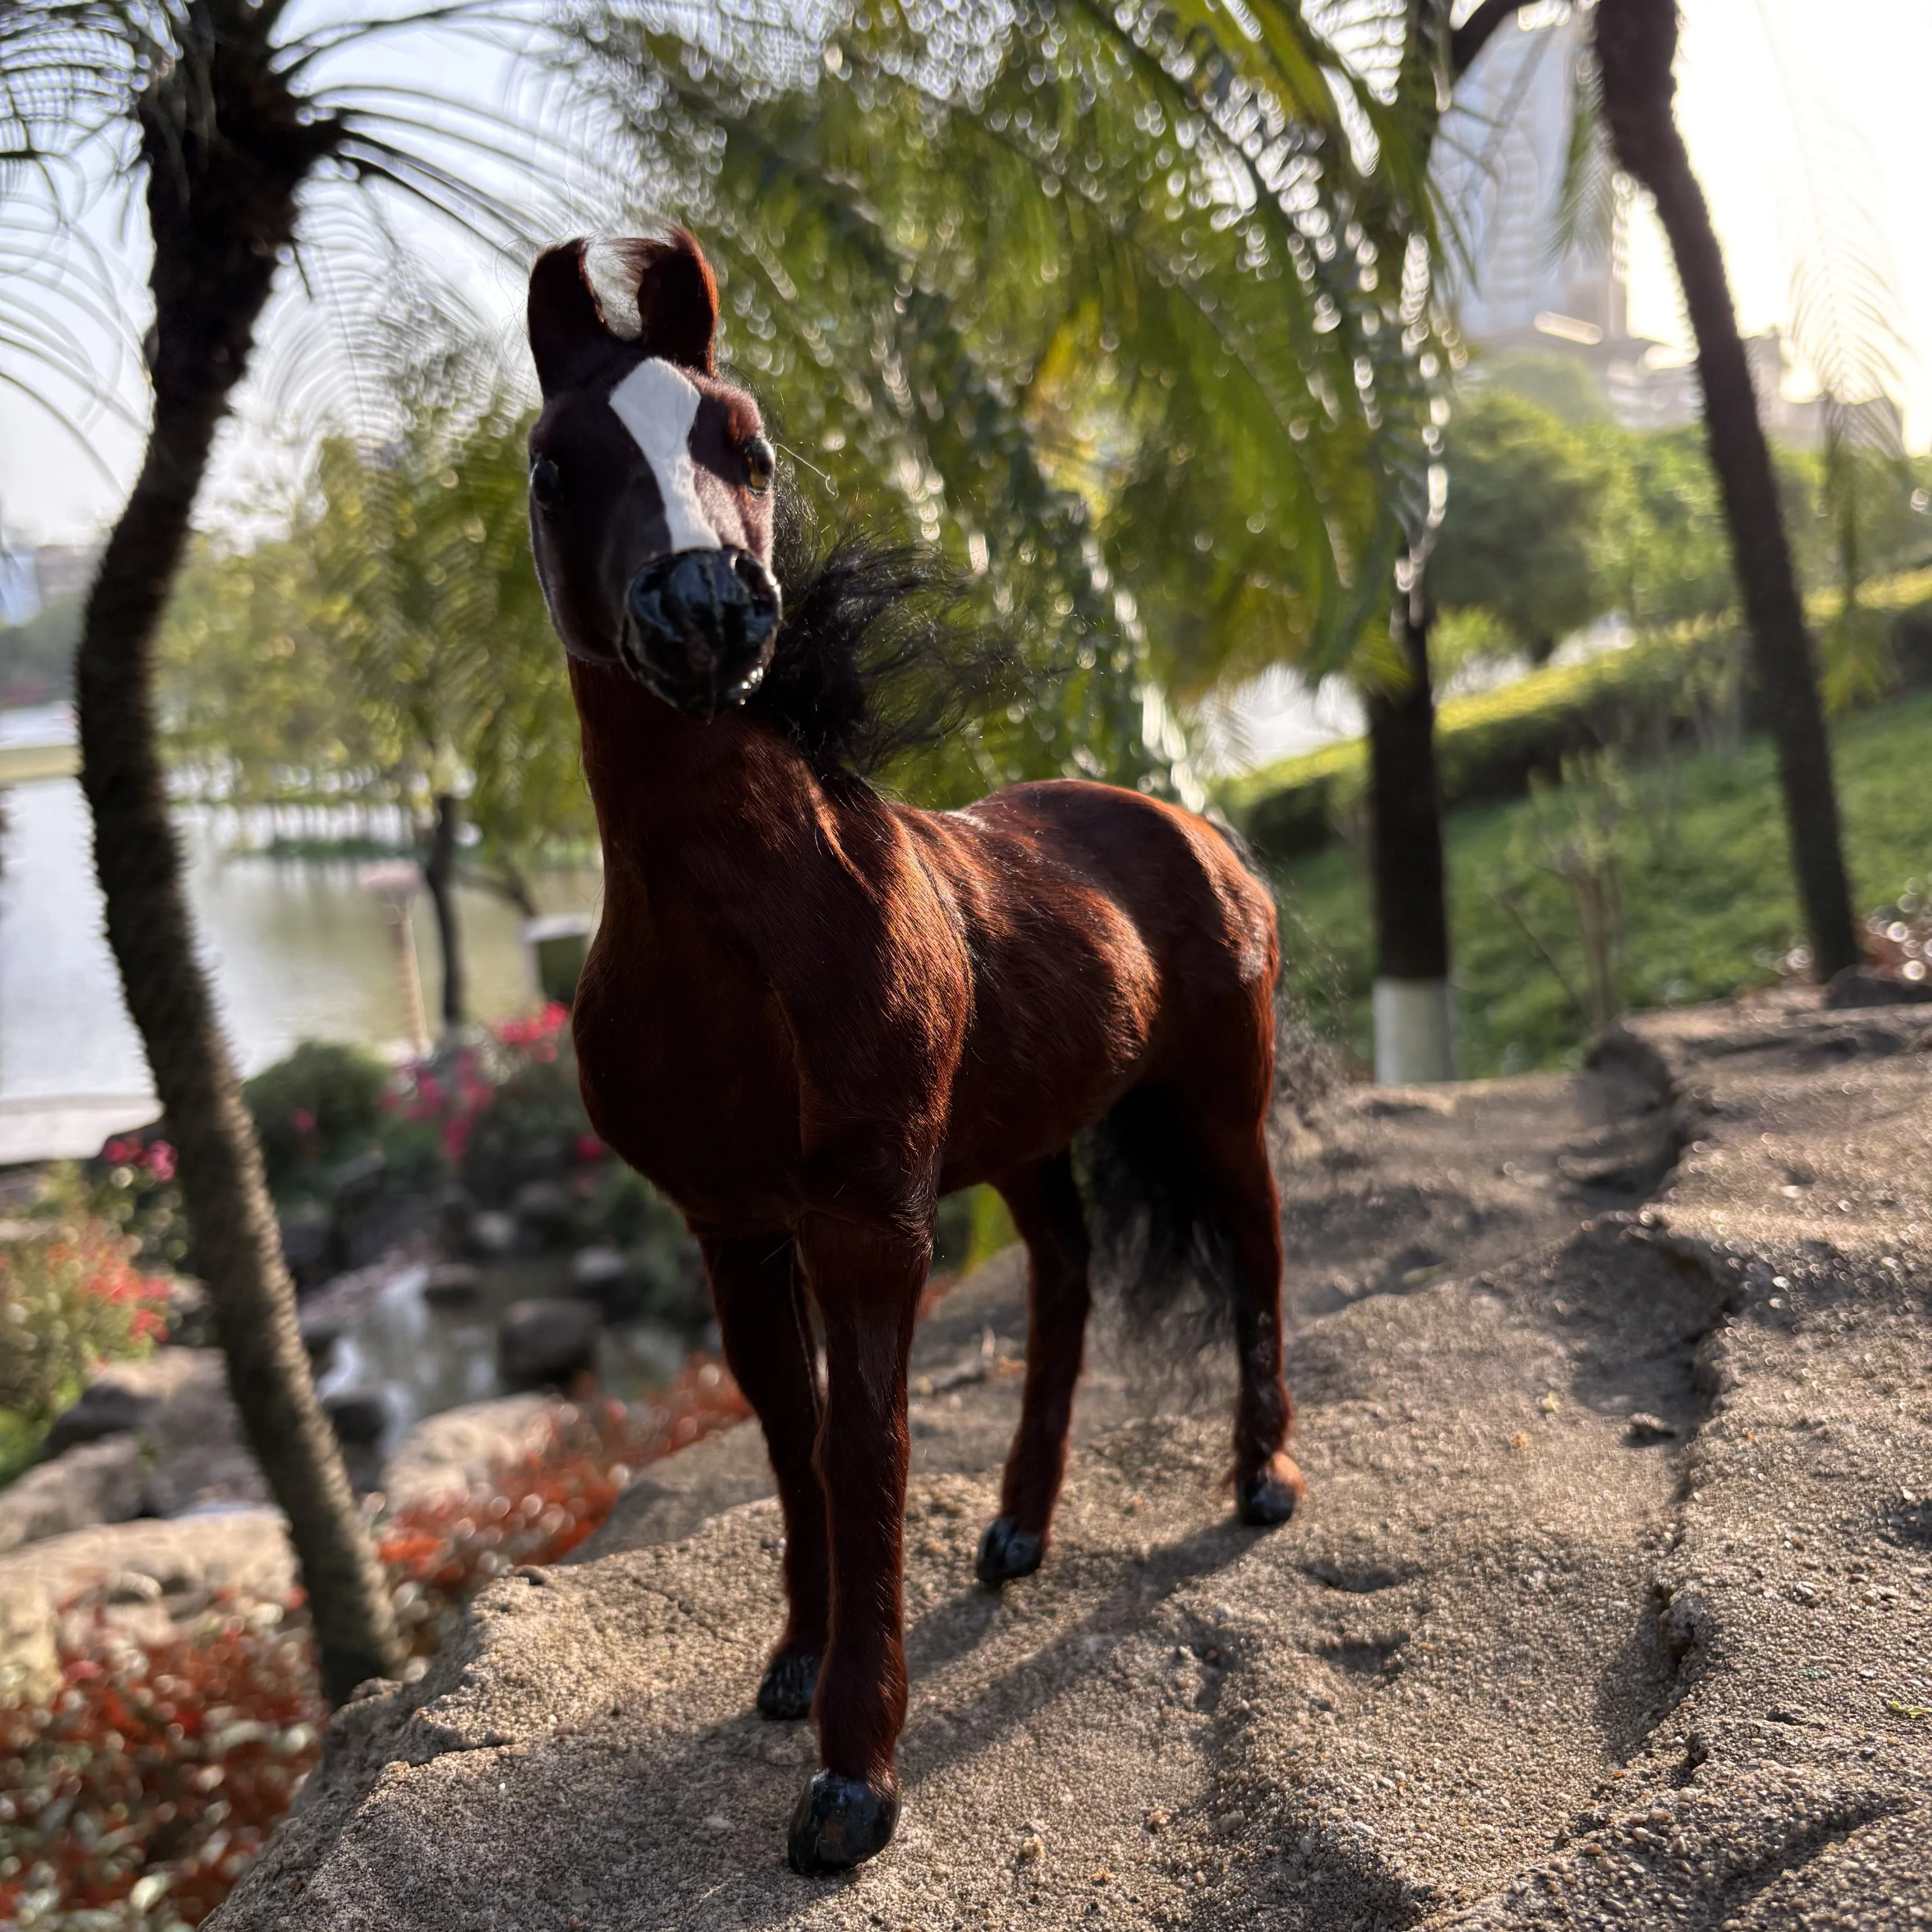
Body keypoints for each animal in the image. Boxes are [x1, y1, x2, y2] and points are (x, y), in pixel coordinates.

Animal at [524, 228, 1306, 1876]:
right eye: (556, 467)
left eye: (746, 442)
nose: (708, 612)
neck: (735, 940)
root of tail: (1184, 820)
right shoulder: (733, 1226)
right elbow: (786, 1429)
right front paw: (794, 1665)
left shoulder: (870, 1221)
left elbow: (863, 1446)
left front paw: (853, 1779)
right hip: (1028, 1140)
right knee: (1069, 1283)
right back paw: (1020, 1531)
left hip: (1220, 1101)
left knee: (1259, 1253)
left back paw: (1262, 1478)